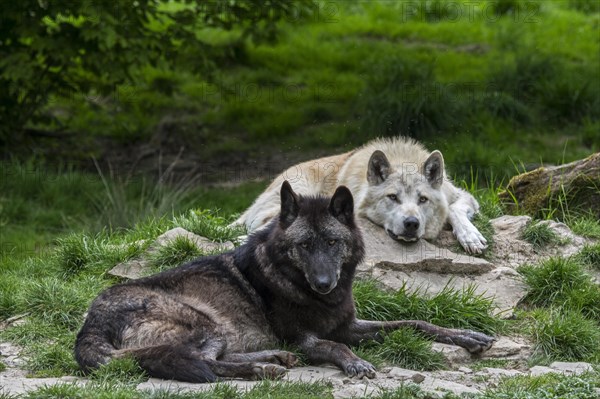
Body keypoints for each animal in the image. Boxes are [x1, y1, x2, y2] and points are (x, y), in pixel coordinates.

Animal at [75, 180, 494, 382]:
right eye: (304, 245)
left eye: (332, 243)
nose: (324, 283)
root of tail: (88, 325)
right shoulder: (305, 337)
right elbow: (333, 347)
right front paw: (355, 363)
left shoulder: (348, 325)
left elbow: (414, 322)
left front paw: (466, 335)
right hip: (202, 322)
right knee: (201, 361)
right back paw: (265, 368)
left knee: (210, 357)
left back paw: (272, 358)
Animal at [234, 138, 488, 255]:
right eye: (393, 197)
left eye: (422, 200)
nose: (411, 223)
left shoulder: (463, 196)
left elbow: (455, 209)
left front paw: (470, 236)